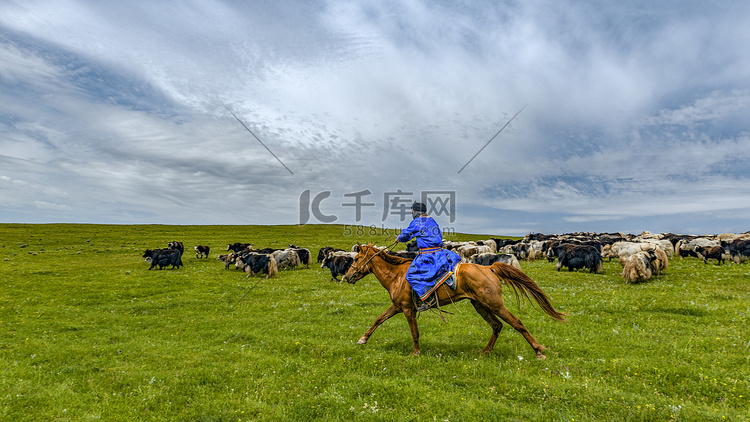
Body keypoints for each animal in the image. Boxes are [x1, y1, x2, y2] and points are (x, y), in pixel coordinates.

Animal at [344, 244, 568, 360]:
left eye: (355, 259)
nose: (347, 277)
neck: (397, 275)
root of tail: (490, 268)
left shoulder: (408, 309)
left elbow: (414, 332)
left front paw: (416, 353)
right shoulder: (397, 307)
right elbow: (378, 319)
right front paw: (363, 339)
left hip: (494, 304)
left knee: (517, 323)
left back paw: (538, 350)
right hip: (480, 305)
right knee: (497, 325)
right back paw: (486, 351)